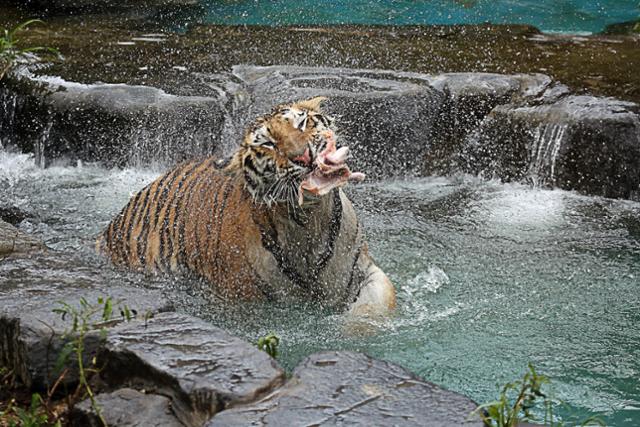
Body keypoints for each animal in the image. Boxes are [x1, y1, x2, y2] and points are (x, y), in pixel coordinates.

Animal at [97, 98, 396, 316]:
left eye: (302, 124)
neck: (308, 221)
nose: (303, 156)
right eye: (269, 144)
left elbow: (378, 302)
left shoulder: (364, 269)